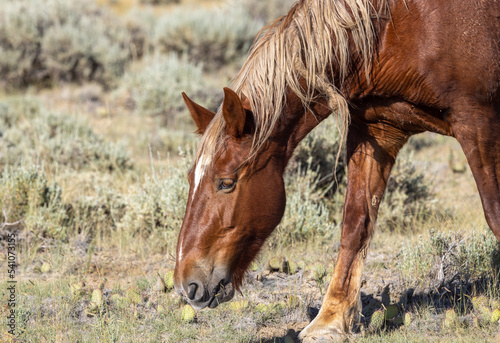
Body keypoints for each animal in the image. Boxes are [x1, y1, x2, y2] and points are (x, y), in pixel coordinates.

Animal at [174, 0, 498, 342]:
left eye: (226, 183)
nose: (186, 285)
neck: (396, 27)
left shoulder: (477, 122)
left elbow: (494, 215)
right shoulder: (378, 131)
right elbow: (356, 224)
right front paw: (330, 320)